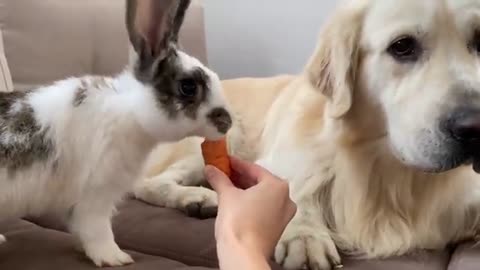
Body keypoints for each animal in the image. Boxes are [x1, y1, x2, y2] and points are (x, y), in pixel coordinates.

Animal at [0, 0, 233, 266]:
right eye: (188, 86)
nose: (227, 122)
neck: (129, 112)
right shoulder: (96, 194)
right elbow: (97, 230)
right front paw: (116, 258)